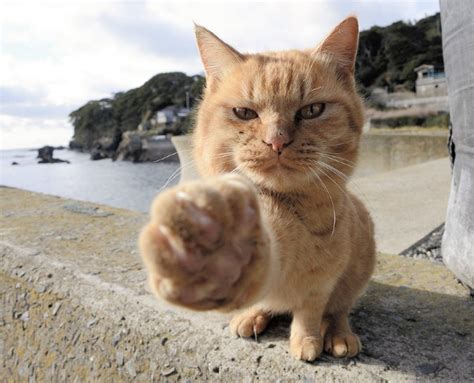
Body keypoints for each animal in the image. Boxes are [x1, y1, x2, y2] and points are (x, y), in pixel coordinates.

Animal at [139, 15, 376, 364]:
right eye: (244, 113)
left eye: (312, 110)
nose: (277, 141)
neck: (287, 207)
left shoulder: (320, 282)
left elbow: (310, 312)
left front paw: (307, 339)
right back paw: (251, 316)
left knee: (339, 309)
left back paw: (339, 334)